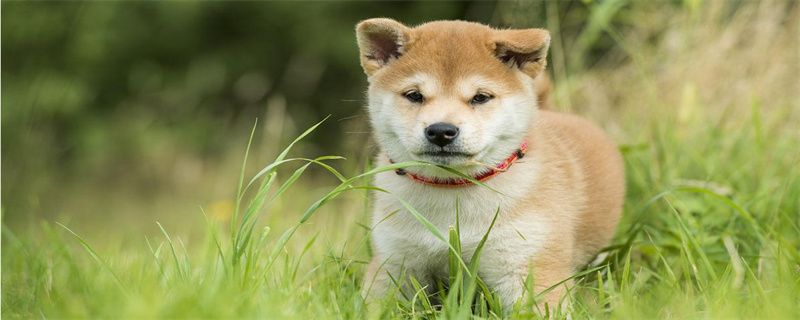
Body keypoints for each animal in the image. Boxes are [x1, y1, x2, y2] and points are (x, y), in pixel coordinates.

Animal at [356, 18, 624, 312]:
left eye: (480, 97)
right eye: (414, 95)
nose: (441, 131)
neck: (452, 192)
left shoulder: (528, 265)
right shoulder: (394, 263)